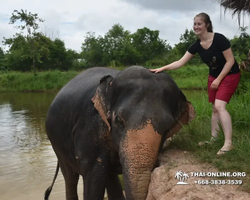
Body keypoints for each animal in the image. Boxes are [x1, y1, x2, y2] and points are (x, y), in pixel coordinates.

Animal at [44, 66, 195, 200]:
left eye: (167, 127)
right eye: (118, 120)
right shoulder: (89, 128)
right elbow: (93, 180)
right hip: (56, 143)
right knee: (70, 177)